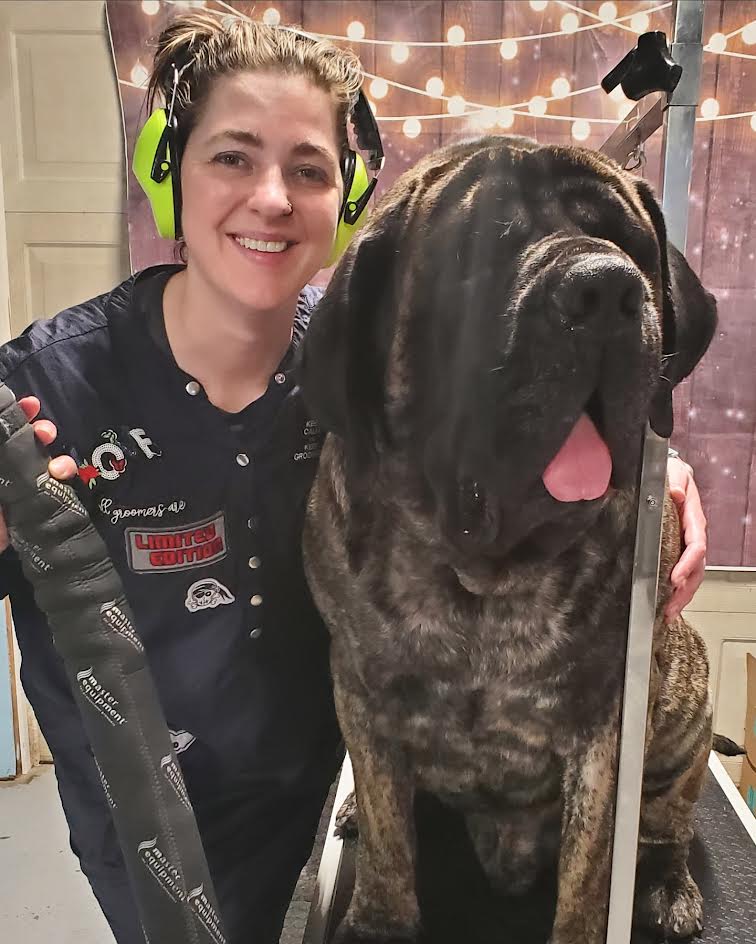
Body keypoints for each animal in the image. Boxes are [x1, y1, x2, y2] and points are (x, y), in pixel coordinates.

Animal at [298, 136, 717, 944]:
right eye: (480, 247)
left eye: (628, 242)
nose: (605, 289)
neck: (484, 579)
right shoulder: (360, 687)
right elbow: (390, 830)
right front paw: (379, 914)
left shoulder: (608, 721)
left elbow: (591, 866)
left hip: (687, 708)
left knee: (666, 822)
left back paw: (667, 886)